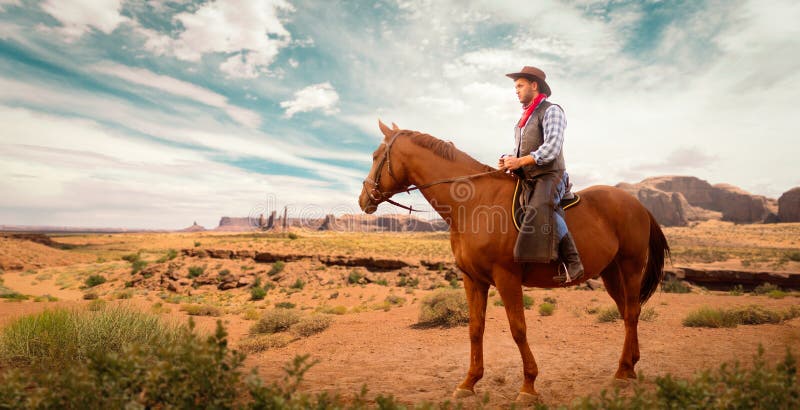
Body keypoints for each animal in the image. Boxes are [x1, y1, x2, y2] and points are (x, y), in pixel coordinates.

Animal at [358, 121, 668, 404]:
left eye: (375, 156)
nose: (363, 199)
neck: (473, 204)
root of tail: (639, 206)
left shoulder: (507, 277)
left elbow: (518, 329)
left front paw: (528, 386)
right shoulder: (473, 279)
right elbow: (475, 329)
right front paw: (469, 382)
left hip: (630, 266)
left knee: (631, 313)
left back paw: (622, 372)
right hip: (611, 273)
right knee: (628, 311)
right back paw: (630, 367)